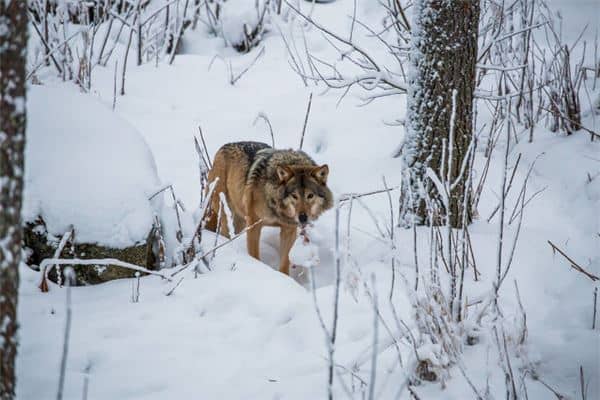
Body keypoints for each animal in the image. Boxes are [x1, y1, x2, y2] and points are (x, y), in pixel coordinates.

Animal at [205, 141, 332, 276]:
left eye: (310, 195)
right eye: (294, 196)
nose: (303, 217)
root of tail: (222, 148)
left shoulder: (289, 229)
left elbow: (285, 262)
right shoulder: (254, 224)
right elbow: (254, 255)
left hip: (240, 222)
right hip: (225, 215)